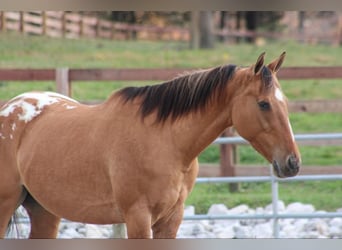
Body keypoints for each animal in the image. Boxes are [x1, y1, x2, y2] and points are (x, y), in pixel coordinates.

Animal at [0, 52, 300, 238]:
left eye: (285, 102)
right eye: (263, 104)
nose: (293, 163)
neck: (166, 142)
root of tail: (10, 107)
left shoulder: (171, 219)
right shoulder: (138, 218)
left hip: (45, 212)